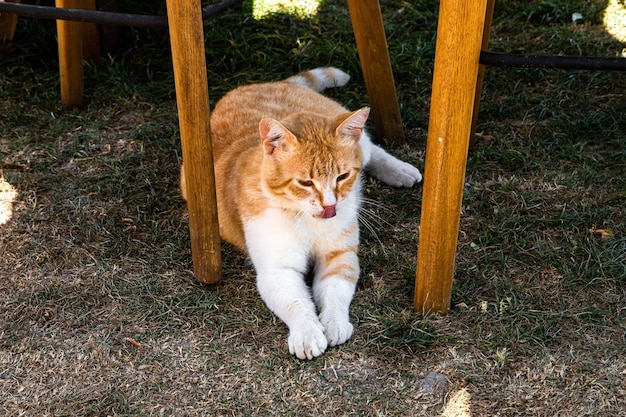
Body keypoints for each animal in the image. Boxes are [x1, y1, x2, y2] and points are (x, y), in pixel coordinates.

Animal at [183, 67, 422, 358]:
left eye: (342, 177)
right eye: (306, 183)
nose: (330, 205)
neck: (307, 220)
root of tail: (264, 83)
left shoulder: (339, 256)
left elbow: (335, 292)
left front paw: (334, 323)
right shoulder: (278, 270)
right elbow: (296, 304)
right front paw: (307, 333)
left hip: (360, 143)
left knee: (371, 149)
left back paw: (400, 170)